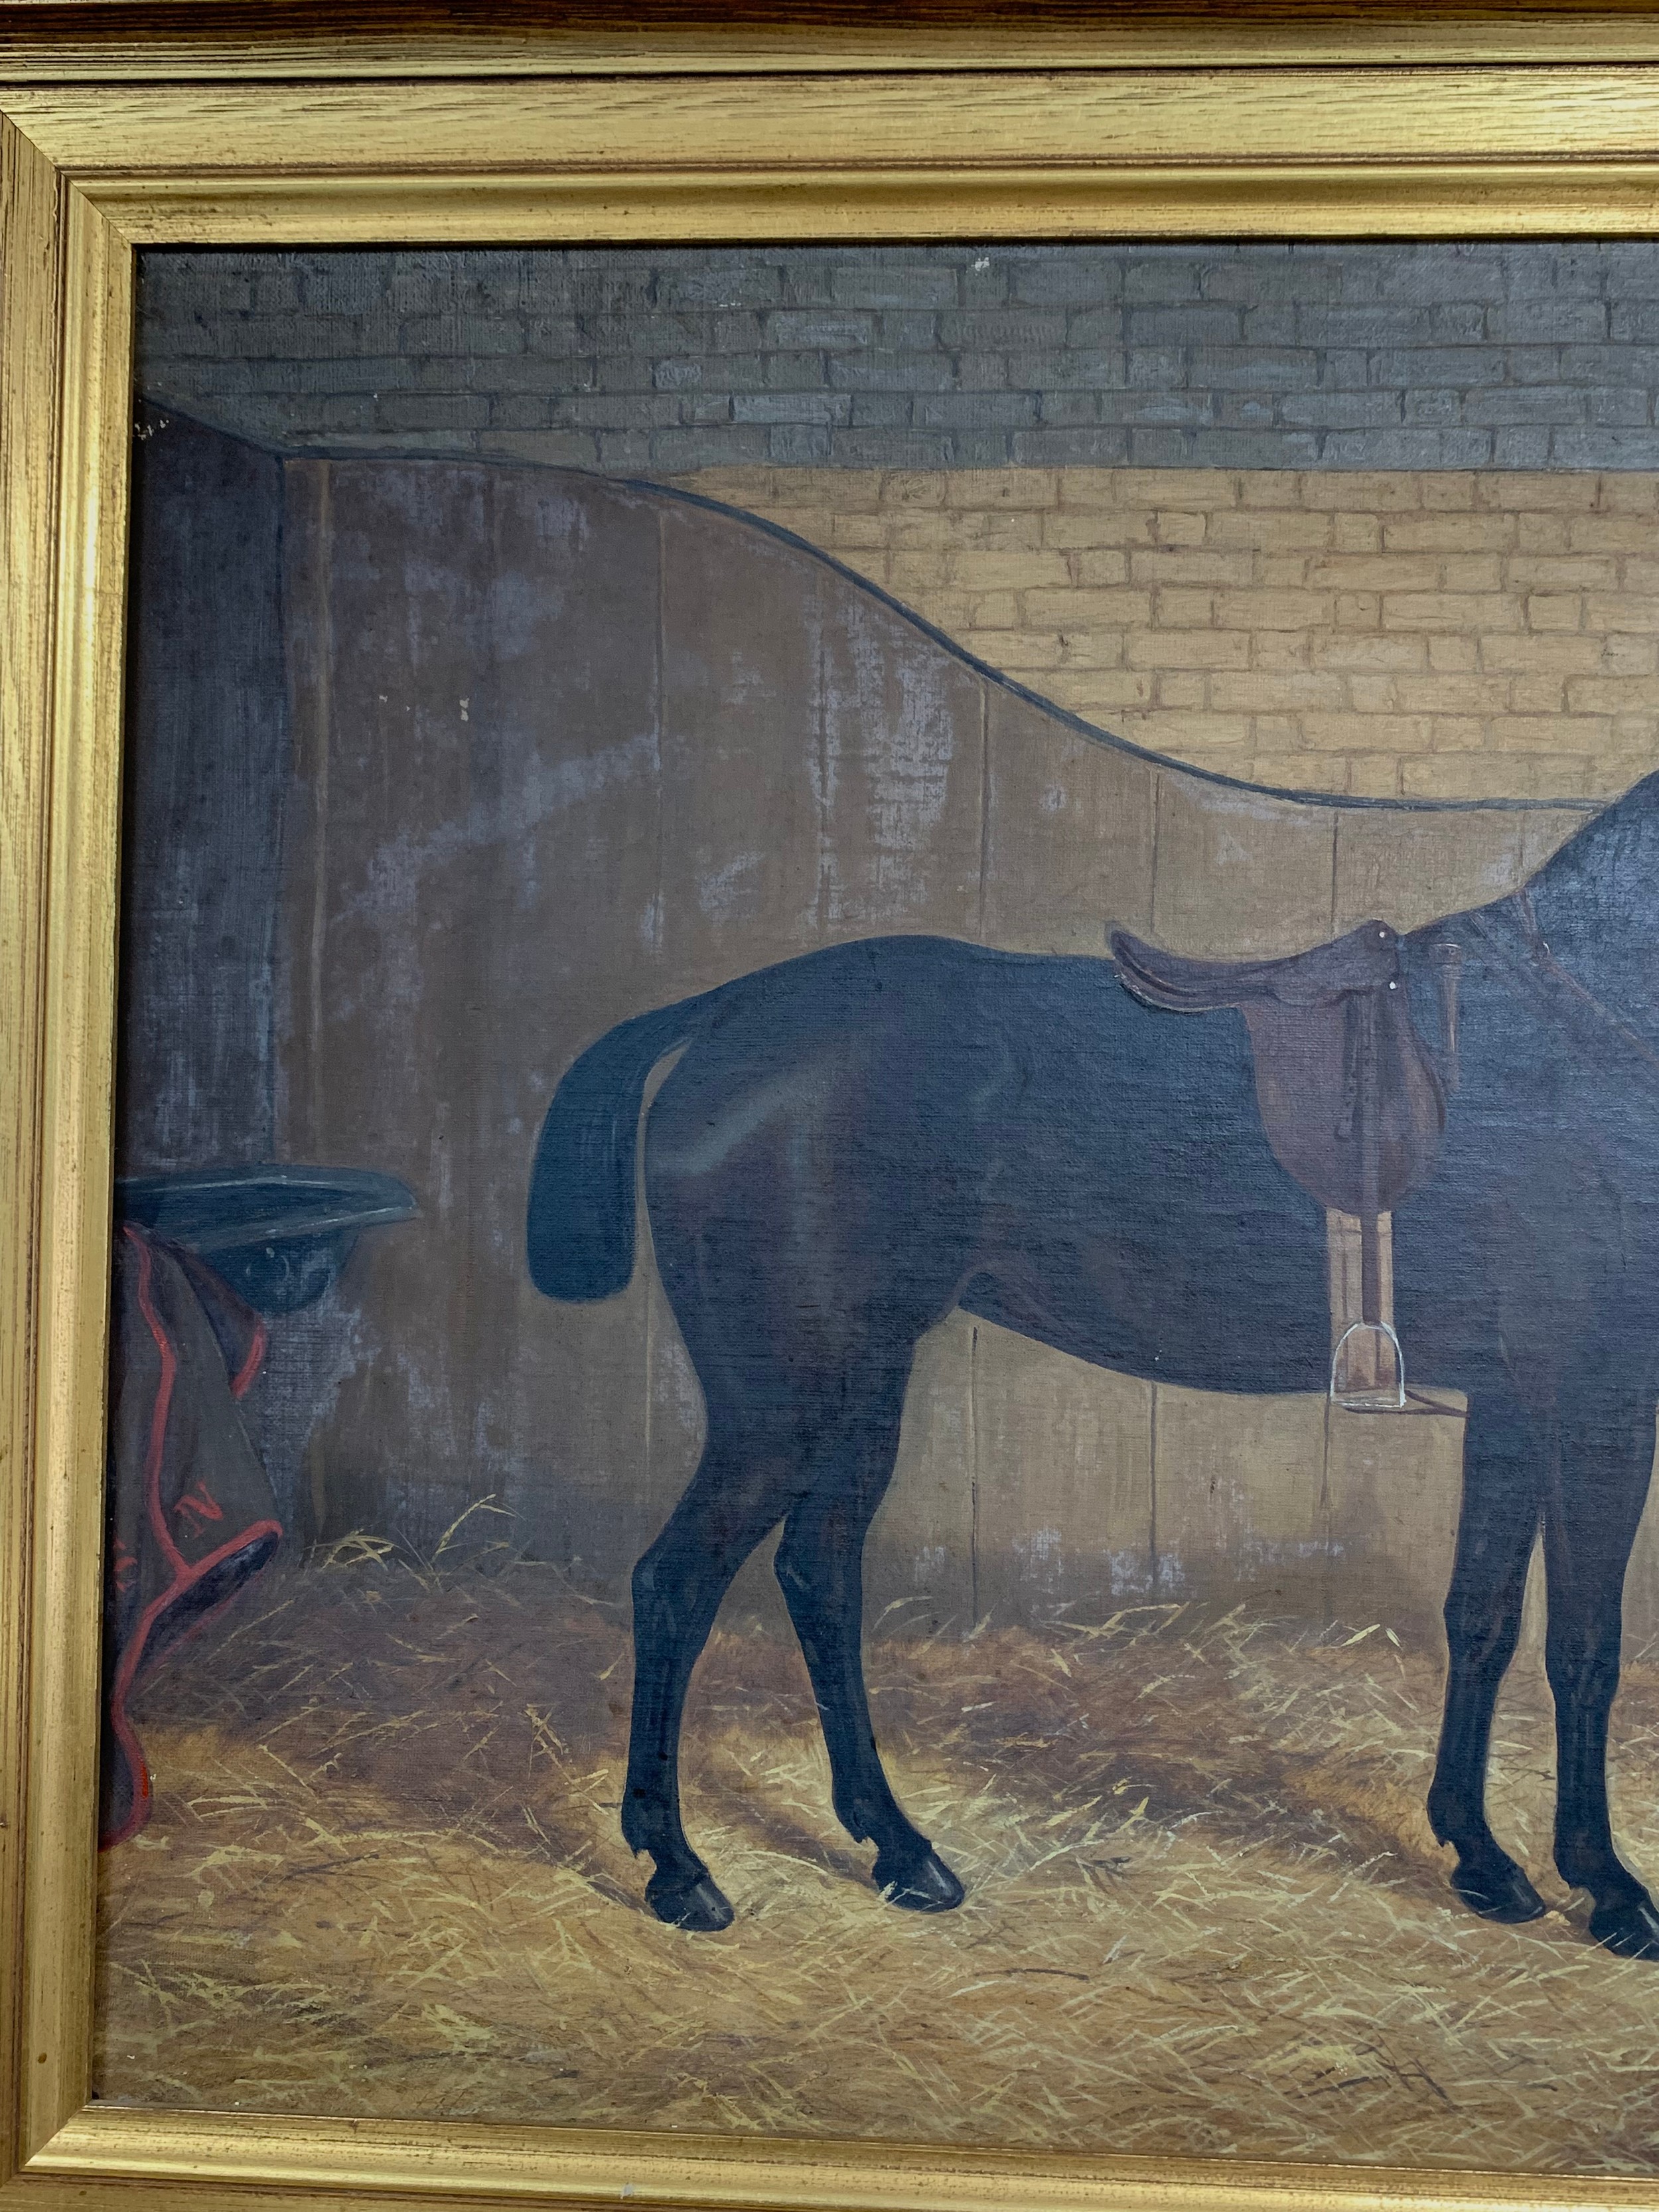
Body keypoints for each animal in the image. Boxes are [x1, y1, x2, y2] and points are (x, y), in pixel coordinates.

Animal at [526, 769, 1659, 1947]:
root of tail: (724, 1015)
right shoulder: (1603, 1398)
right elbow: (1586, 1643)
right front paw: (1610, 1886)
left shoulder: (1521, 1404)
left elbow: (1484, 1617)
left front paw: (1482, 1859)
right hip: (780, 1405)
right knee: (674, 1584)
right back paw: (677, 1867)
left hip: (861, 1388)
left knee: (818, 1574)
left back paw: (899, 1849)